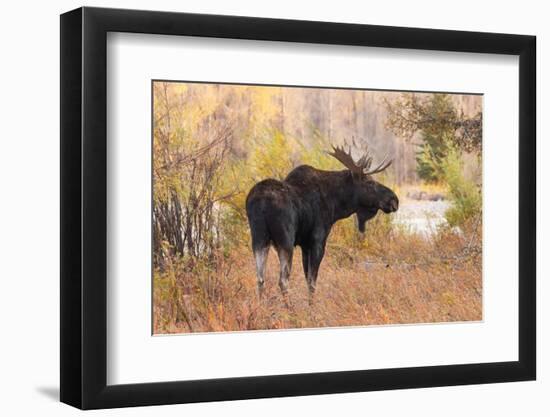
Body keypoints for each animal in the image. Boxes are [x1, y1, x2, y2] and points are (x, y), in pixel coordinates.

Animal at [248, 142, 398, 300]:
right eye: (369, 182)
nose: (394, 199)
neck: (335, 204)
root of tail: (262, 203)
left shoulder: (305, 245)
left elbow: (307, 278)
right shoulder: (317, 240)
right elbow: (312, 282)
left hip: (259, 239)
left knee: (260, 279)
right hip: (285, 241)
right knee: (283, 280)